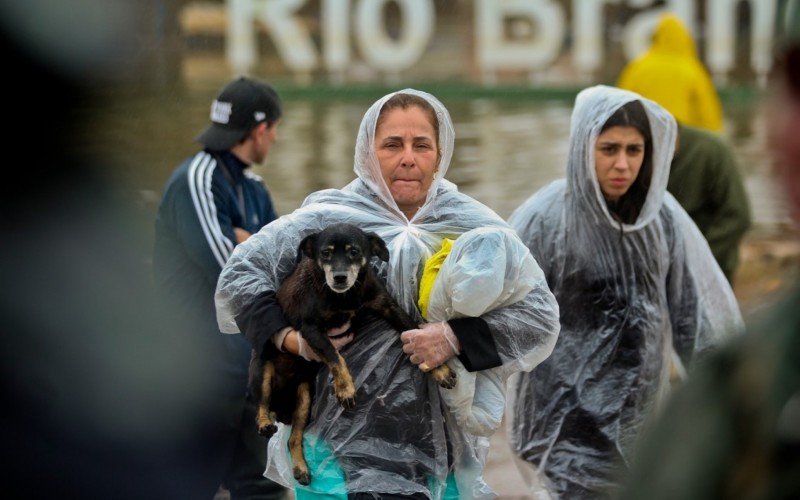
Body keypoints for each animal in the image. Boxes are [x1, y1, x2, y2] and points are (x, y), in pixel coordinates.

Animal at [250, 223, 456, 484]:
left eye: (354, 251)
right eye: (325, 253)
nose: (339, 277)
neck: (343, 297)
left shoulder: (388, 307)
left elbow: (413, 331)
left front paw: (439, 369)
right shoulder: (310, 329)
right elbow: (333, 355)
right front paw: (345, 388)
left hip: (304, 397)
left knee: (293, 439)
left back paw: (300, 468)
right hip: (262, 372)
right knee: (261, 402)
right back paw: (265, 423)